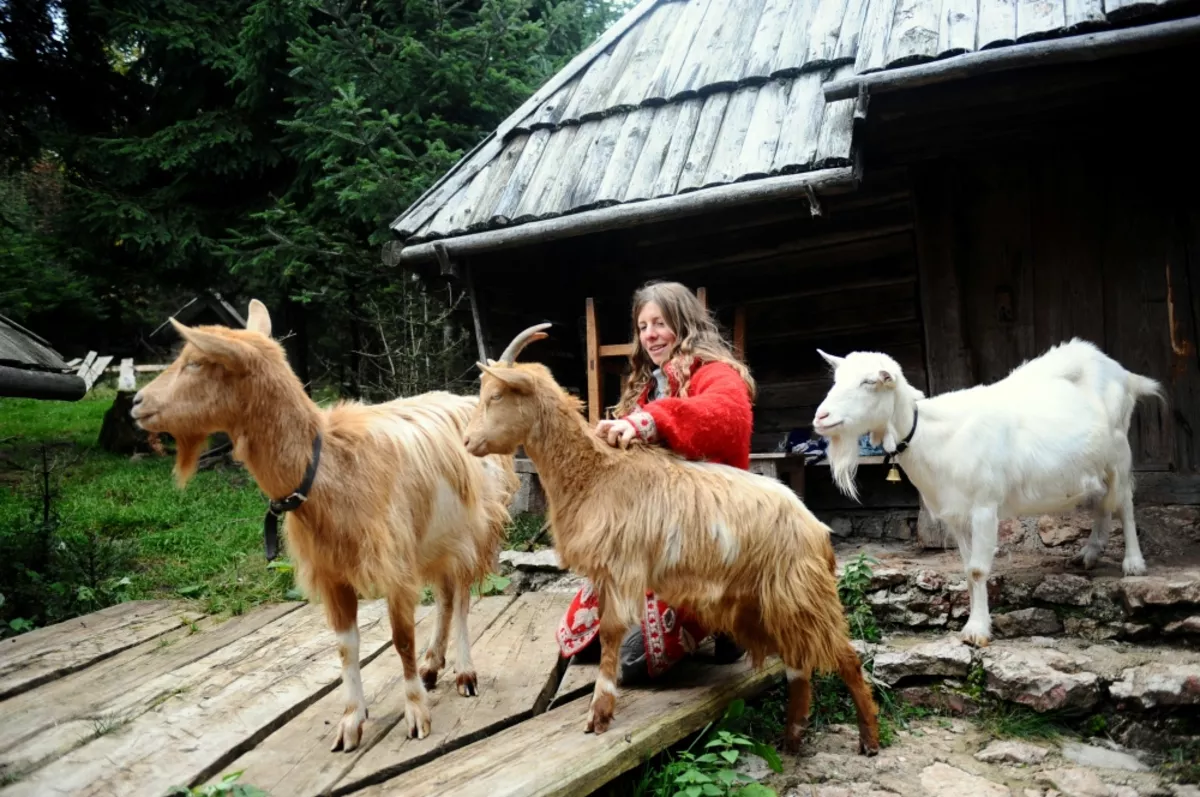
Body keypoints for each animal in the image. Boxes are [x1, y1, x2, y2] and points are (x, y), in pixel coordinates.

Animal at [816, 338, 1161, 648]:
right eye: (836, 379)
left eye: (869, 382)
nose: (821, 417)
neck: (934, 436)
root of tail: (1123, 373)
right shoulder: (955, 515)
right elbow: (967, 570)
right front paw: (973, 622)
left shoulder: (984, 506)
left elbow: (979, 570)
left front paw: (977, 632)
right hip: (1094, 464)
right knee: (1103, 500)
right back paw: (1089, 553)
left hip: (1119, 452)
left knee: (1125, 503)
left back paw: (1133, 563)